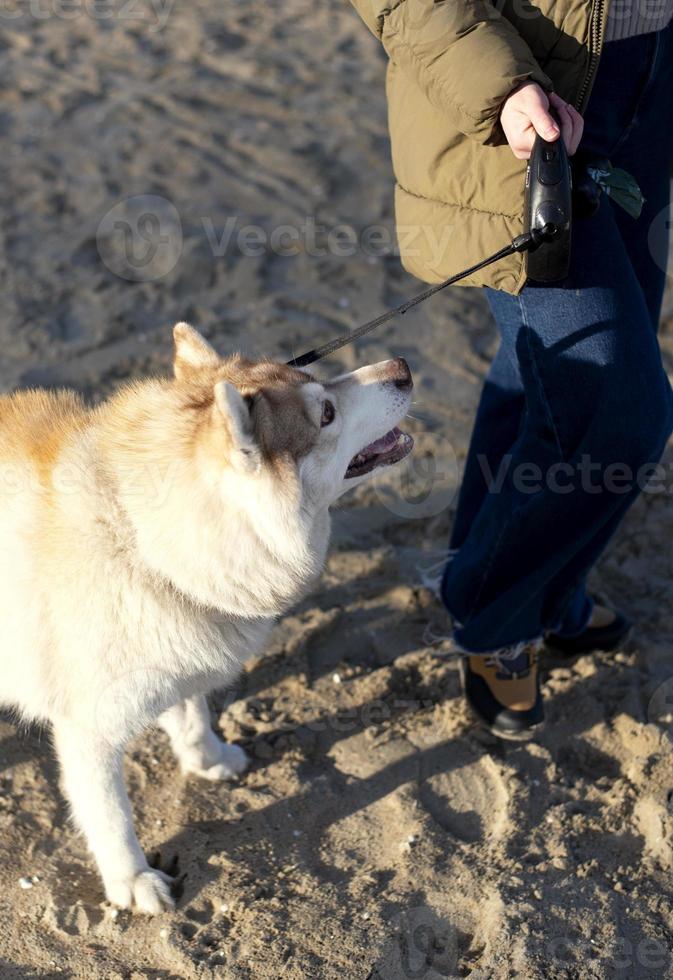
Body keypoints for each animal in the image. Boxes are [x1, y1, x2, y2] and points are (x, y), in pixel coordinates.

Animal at [0, 326, 414, 916]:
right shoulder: (88, 733)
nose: (402, 367)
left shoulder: (180, 645)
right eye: (326, 412)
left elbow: (191, 712)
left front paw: (207, 758)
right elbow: (111, 815)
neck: (138, 541)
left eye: (313, 377)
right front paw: (133, 880)